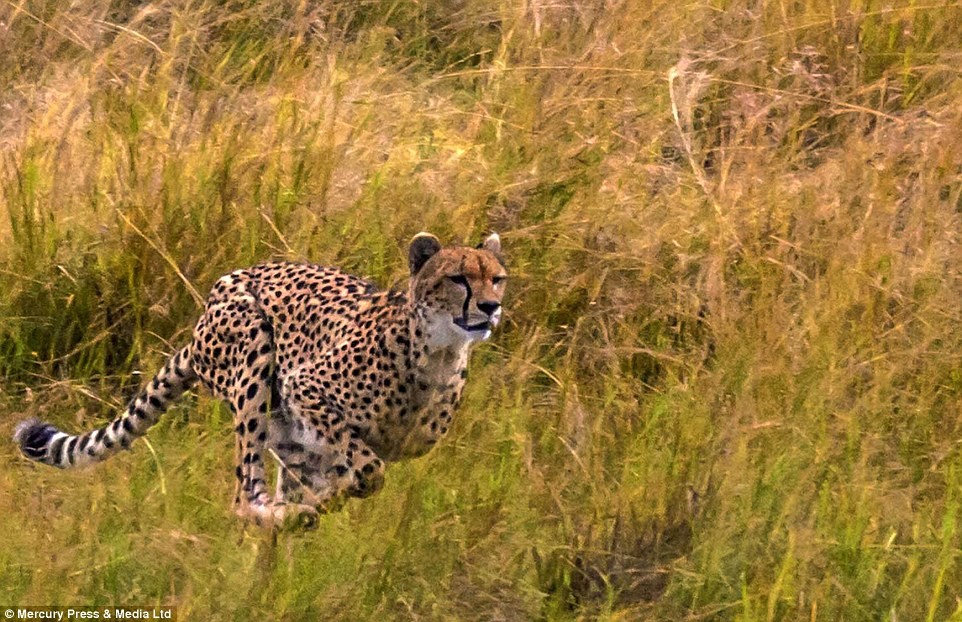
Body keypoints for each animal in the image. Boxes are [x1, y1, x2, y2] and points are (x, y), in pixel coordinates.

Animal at [13, 234, 502, 532]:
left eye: (497, 278)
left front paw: (320, 504)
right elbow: (371, 469)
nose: (491, 307)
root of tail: (206, 310)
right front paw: (320, 503)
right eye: (458, 278)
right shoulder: (305, 387)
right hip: (253, 349)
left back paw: (289, 518)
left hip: (285, 427)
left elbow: (353, 474)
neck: (437, 354)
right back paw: (272, 514)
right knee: (242, 492)